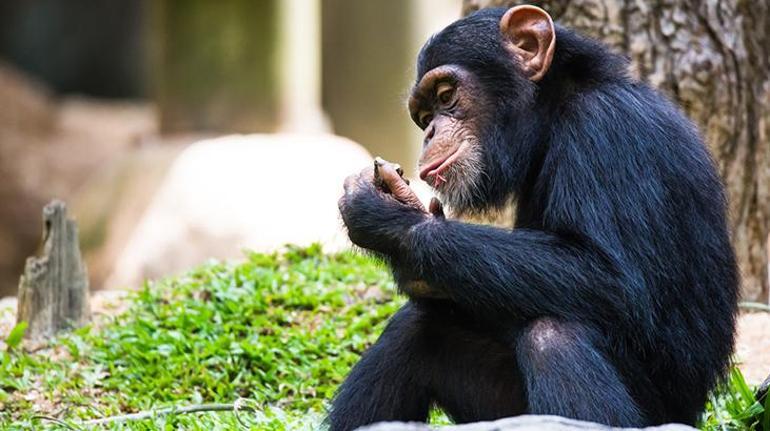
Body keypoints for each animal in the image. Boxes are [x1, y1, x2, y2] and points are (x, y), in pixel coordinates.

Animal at [330, 4, 736, 431]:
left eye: (445, 95)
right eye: (424, 116)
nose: (430, 132)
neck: (556, 113)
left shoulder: (608, 130)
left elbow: (614, 280)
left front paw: (392, 218)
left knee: (553, 337)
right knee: (415, 327)